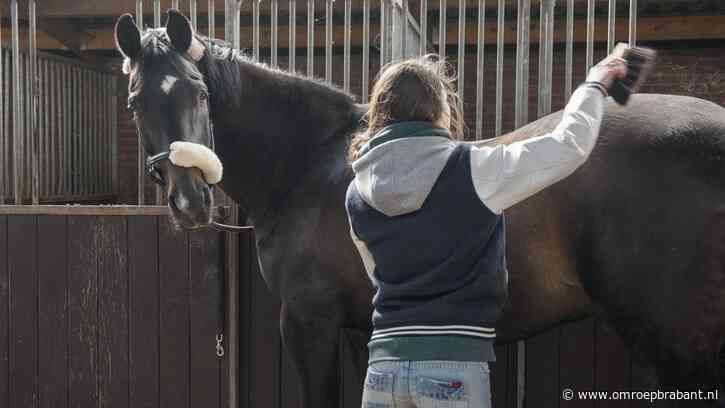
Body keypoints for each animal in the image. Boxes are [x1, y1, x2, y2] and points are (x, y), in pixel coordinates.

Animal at [115, 10, 725, 407]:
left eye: (198, 92)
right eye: (136, 102)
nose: (191, 199)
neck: (308, 165)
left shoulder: (309, 323)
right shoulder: (363, 330)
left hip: (675, 342)